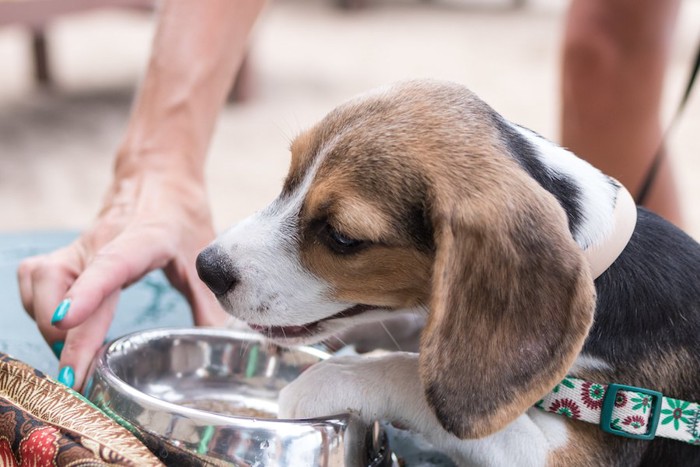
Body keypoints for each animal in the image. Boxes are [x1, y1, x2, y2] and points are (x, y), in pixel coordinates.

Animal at [196, 81, 700, 467]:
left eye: (341, 237)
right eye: (288, 182)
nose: (207, 268)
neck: (602, 266)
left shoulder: (565, 454)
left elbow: (412, 375)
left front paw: (330, 378)